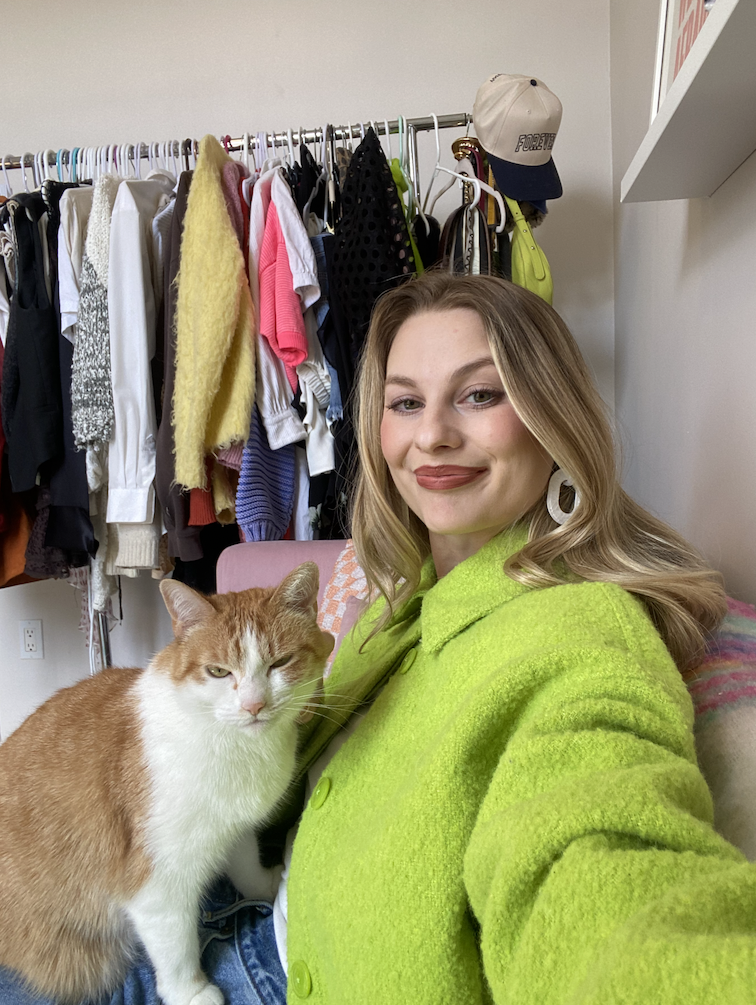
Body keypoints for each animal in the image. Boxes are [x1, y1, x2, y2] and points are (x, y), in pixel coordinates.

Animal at [0, 562, 333, 1005]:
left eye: (280, 663)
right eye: (218, 671)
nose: (254, 705)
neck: (234, 745)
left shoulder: (233, 826)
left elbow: (245, 863)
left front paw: (265, 884)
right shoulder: (157, 884)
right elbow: (175, 943)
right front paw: (189, 992)